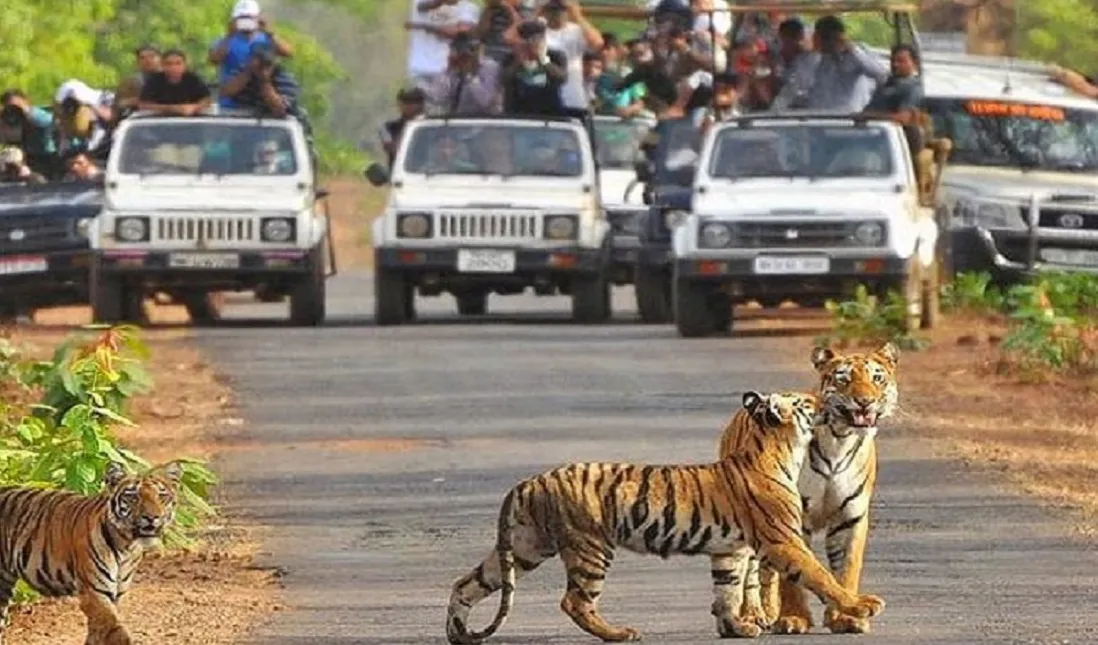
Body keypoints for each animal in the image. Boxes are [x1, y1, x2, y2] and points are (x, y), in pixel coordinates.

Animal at [0, 461, 182, 641]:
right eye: (133, 497)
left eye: (162, 496)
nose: (152, 517)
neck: (127, 546)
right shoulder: (95, 592)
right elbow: (116, 631)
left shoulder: (117, 594)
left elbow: (98, 631)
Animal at [443, 391, 882, 641]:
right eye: (805, 404)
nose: (825, 405)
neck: (779, 448)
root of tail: (528, 482)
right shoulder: (783, 541)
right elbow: (821, 576)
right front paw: (861, 606)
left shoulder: (730, 551)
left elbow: (727, 589)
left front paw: (735, 629)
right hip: (589, 547)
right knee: (575, 601)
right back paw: (620, 634)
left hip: (525, 547)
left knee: (466, 584)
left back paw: (457, 633)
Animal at [711, 342, 900, 637]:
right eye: (843, 379)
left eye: (877, 379)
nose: (865, 401)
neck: (840, 440)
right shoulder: (790, 517)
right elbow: (792, 578)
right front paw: (793, 618)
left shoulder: (851, 516)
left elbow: (846, 569)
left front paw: (846, 618)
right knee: (751, 571)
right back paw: (753, 615)